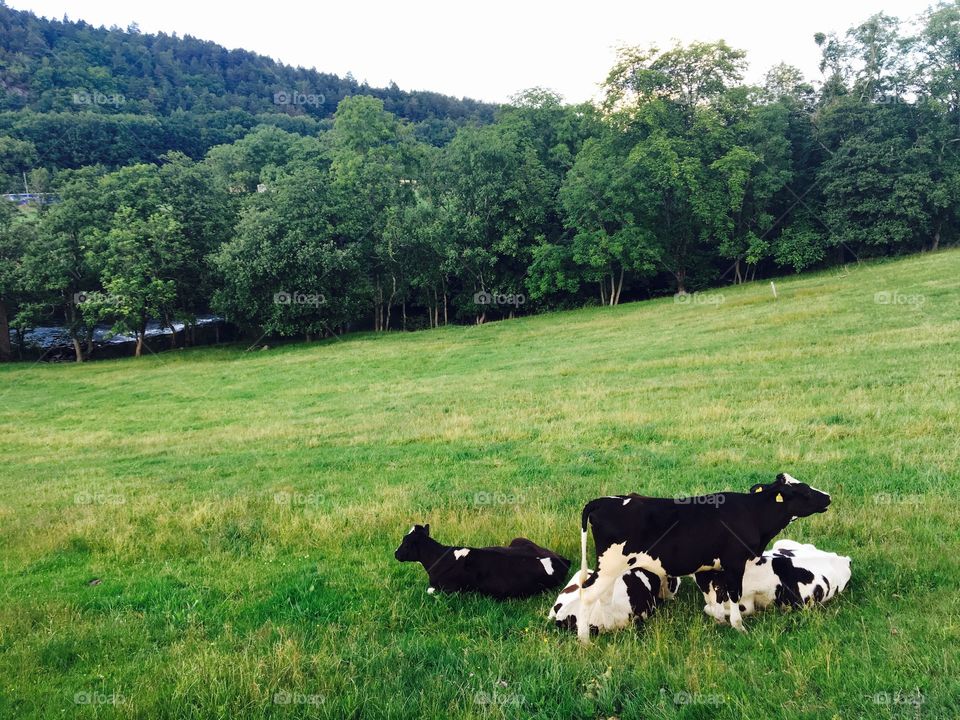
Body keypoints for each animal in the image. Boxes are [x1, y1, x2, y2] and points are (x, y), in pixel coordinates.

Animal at [576, 473, 831, 641]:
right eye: (805, 491)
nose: (828, 496)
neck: (752, 513)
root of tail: (604, 500)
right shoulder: (735, 563)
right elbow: (734, 594)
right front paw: (738, 626)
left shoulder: (714, 568)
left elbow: (717, 595)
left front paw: (719, 619)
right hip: (610, 565)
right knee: (587, 594)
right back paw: (584, 640)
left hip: (610, 568)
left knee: (604, 595)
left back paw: (610, 626)